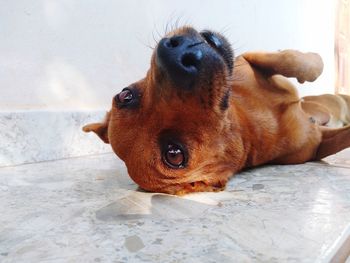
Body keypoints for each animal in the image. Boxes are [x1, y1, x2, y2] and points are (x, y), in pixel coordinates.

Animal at [82, 26, 350, 196]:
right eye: (174, 154)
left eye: (125, 95)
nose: (178, 55)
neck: (249, 118)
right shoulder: (319, 146)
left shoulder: (248, 59)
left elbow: (292, 61)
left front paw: (310, 62)